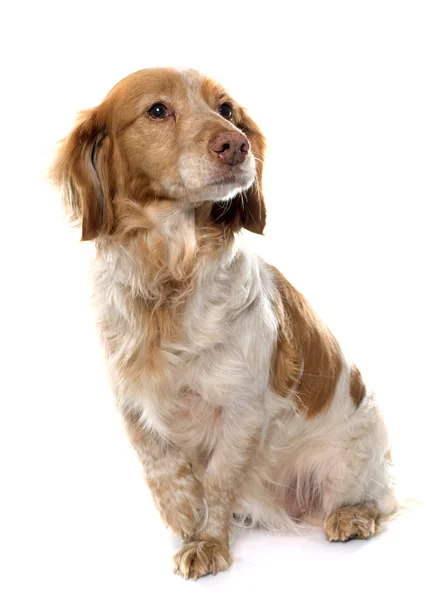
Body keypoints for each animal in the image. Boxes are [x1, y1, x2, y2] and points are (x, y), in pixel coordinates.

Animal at [51, 68, 396, 580]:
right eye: (158, 110)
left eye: (227, 109)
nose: (235, 145)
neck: (169, 273)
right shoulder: (133, 406)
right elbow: (164, 474)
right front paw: (185, 521)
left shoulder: (240, 409)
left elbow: (215, 481)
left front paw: (207, 543)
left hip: (352, 455)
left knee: (380, 498)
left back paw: (352, 516)